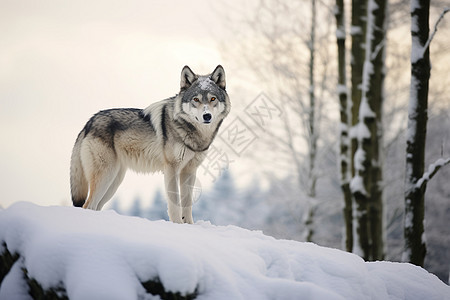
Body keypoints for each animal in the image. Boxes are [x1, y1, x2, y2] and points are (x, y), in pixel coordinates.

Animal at [71, 65, 232, 223]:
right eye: (196, 99)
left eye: (212, 98)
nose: (207, 116)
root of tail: (89, 123)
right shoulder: (171, 168)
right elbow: (175, 204)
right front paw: (177, 225)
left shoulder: (190, 170)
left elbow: (187, 206)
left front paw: (189, 226)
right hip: (106, 176)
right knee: (87, 205)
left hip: (114, 181)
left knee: (95, 206)